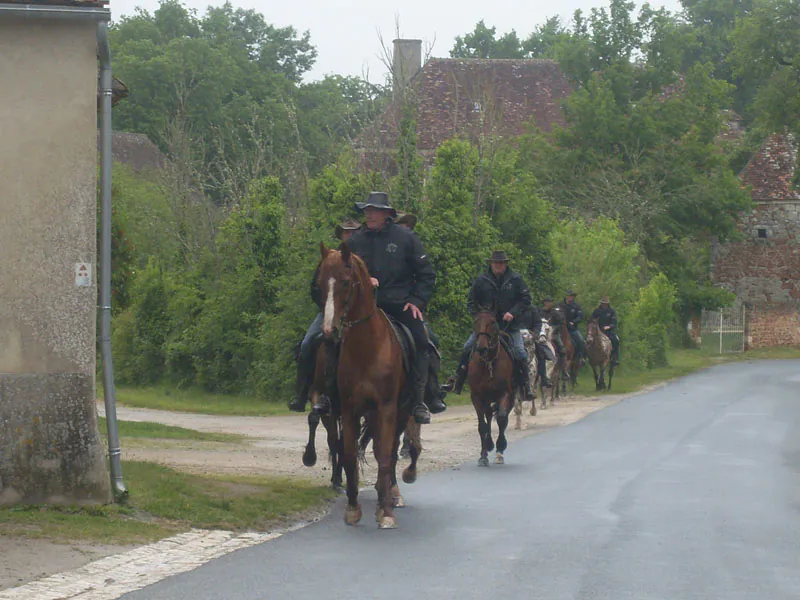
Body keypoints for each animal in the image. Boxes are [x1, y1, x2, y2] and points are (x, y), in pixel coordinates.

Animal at [318, 241, 418, 528]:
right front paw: (353, 508)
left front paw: (386, 511)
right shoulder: (349, 410)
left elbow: (385, 457)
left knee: (392, 453)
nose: (328, 331)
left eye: (345, 282)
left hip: (401, 414)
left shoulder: (387, 409)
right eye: (319, 283)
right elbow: (350, 457)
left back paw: (392, 494)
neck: (367, 349)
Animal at [466, 312, 516, 466]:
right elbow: (482, 426)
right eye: (476, 321)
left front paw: (500, 446)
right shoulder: (476, 396)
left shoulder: (505, 394)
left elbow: (502, 419)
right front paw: (484, 453)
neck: (489, 363)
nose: (481, 348)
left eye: (493, 322)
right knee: (488, 416)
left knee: (502, 417)